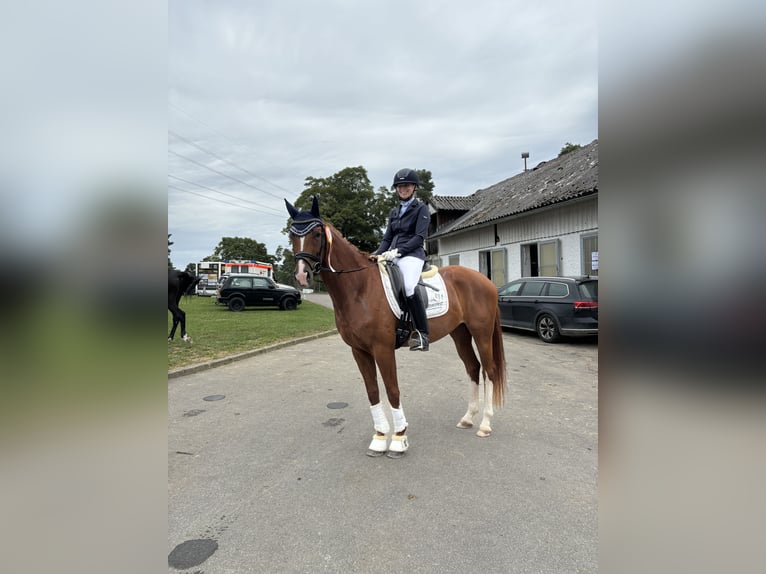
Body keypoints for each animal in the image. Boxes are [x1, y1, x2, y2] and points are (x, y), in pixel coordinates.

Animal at [284, 198, 508, 460]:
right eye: (292, 234)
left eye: (317, 234)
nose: (302, 274)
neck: (359, 289)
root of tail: (486, 281)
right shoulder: (359, 351)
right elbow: (372, 391)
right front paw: (380, 438)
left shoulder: (382, 349)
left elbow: (392, 390)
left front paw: (399, 439)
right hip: (460, 333)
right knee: (473, 368)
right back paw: (467, 418)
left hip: (481, 334)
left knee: (489, 371)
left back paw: (485, 424)